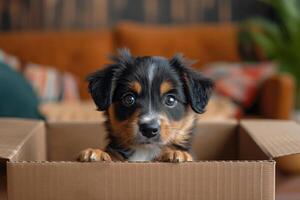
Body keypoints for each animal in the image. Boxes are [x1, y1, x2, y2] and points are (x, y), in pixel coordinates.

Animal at [78, 49, 212, 162]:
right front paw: (97, 153)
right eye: (129, 99)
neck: (145, 152)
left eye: (170, 99)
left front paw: (176, 153)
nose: (149, 129)